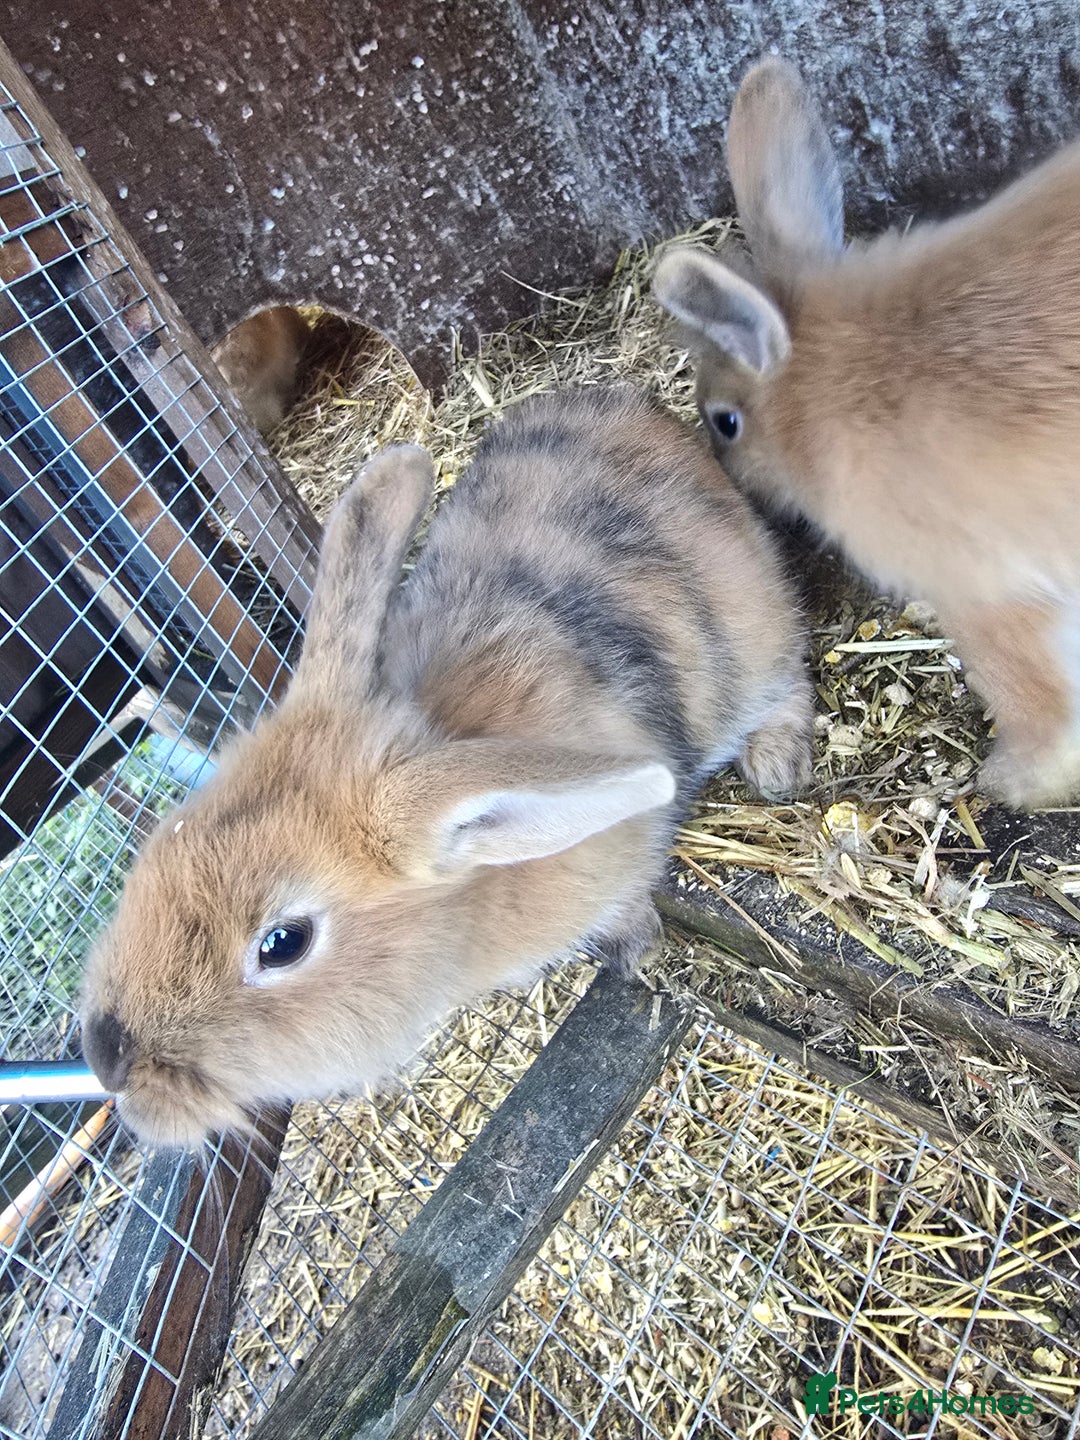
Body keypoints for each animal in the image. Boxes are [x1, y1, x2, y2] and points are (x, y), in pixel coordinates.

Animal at [80, 386, 812, 1148]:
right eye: (164, 844)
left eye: (283, 944)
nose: (108, 1061)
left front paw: (633, 951)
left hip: (755, 644)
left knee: (790, 677)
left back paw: (777, 765)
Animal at [652, 56, 1080, 809]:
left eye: (726, 422)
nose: (729, 483)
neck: (830, 385)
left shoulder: (983, 588)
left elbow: (1032, 697)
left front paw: (1018, 781)